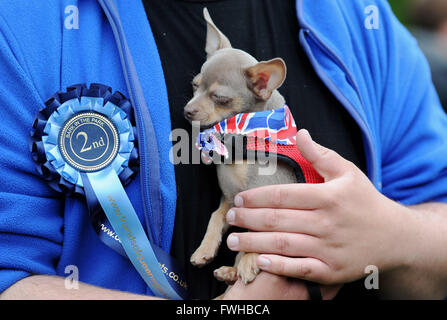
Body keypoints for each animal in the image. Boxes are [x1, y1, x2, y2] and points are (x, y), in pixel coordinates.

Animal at [186, 8, 298, 290]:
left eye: (220, 98)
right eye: (195, 85)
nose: (187, 110)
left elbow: (260, 233)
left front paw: (250, 259)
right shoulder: (230, 200)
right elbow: (215, 216)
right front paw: (205, 248)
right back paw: (229, 272)